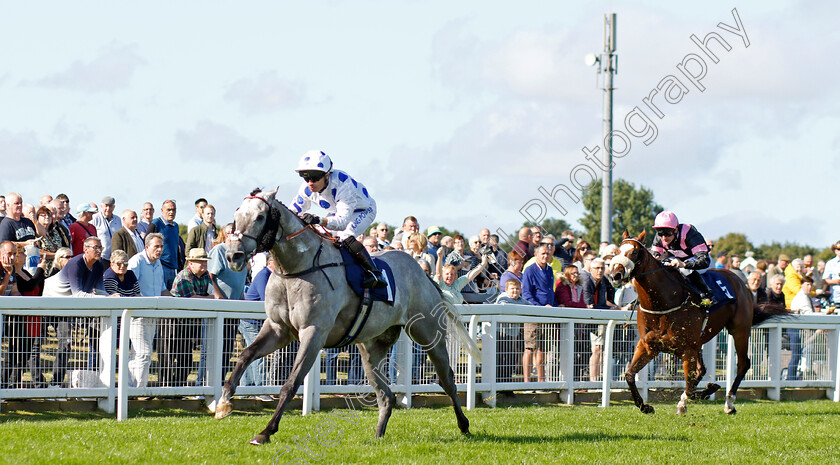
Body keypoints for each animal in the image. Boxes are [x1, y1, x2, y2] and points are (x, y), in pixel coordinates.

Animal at [213, 188, 482, 446]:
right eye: (236, 215)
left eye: (260, 217)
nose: (234, 256)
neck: (297, 268)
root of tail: (425, 277)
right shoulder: (278, 329)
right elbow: (245, 355)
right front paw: (224, 402)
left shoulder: (313, 332)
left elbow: (291, 383)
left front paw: (265, 432)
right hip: (371, 349)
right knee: (386, 395)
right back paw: (378, 436)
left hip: (428, 334)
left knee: (446, 379)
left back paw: (464, 425)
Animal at [604, 230, 788, 416]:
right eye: (616, 251)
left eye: (634, 252)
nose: (614, 275)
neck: (663, 302)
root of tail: (741, 283)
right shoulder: (649, 345)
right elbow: (629, 374)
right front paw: (645, 406)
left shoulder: (687, 349)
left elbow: (690, 386)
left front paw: (692, 398)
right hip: (700, 341)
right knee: (702, 371)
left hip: (739, 330)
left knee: (743, 364)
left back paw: (729, 403)